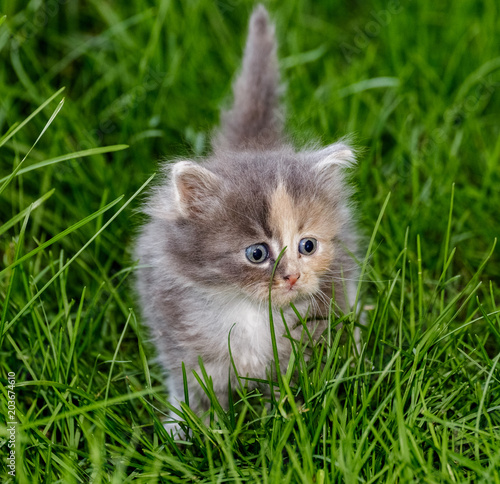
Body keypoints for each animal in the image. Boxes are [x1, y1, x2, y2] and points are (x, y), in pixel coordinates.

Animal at [134, 3, 360, 434]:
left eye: (308, 245)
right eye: (257, 254)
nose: (293, 277)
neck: (252, 313)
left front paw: (285, 416)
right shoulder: (180, 339)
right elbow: (194, 388)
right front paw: (192, 428)